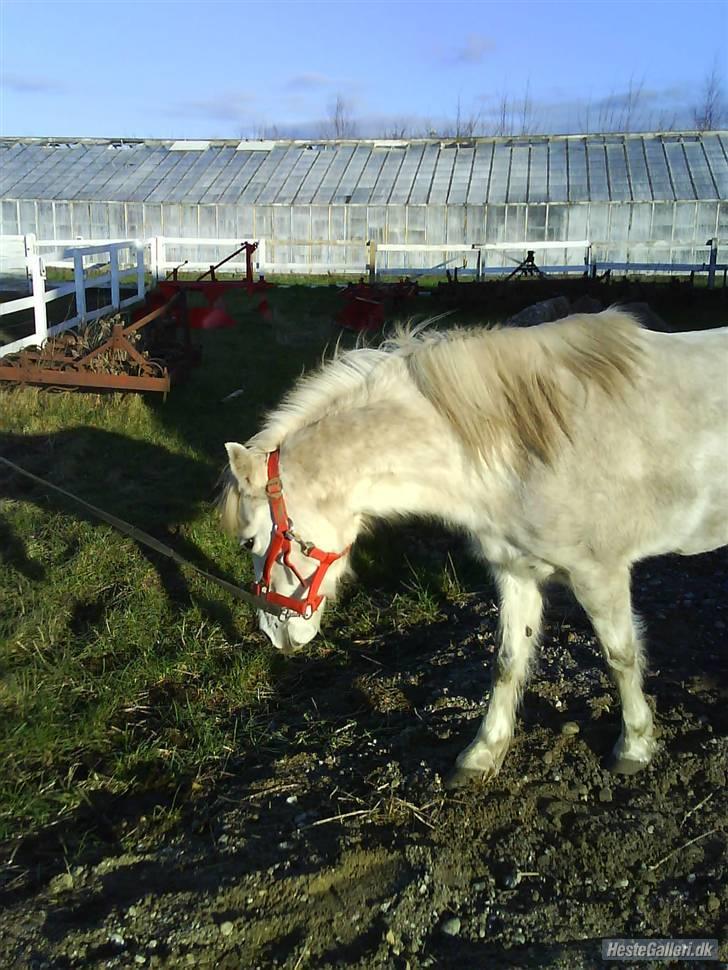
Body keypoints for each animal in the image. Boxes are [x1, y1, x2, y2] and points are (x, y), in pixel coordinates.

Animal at [219, 309, 728, 788]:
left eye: (249, 540)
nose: (274, 632)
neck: (519, 449)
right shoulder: (516, 572)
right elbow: (507, 662)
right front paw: (484, 752)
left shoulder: (599, 574)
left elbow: (620, 656)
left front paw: (635, 745)